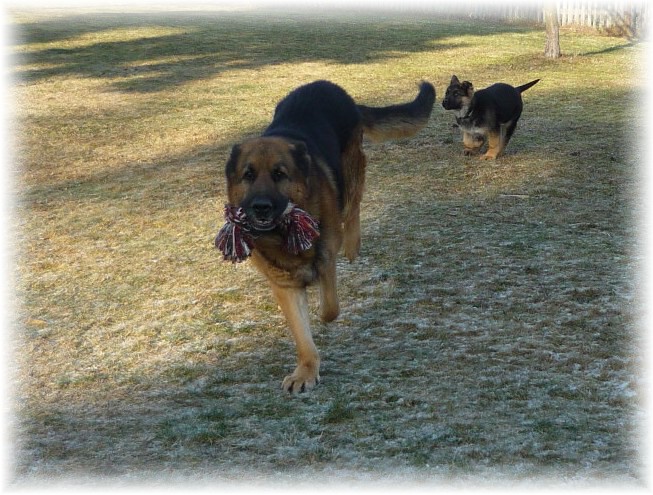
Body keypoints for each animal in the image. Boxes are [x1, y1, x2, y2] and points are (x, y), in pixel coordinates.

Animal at [222, 80, 434, 393]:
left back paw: (353, 245)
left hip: (351, 174)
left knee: (353, 207)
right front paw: (306, 371)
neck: (283, 235)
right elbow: (302, 335)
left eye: (279, 174)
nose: (260, 207)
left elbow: (329, 309)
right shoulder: (284, 284)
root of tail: (333, 88)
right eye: (248, 175)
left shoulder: (325, 259)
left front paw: (322, 310)